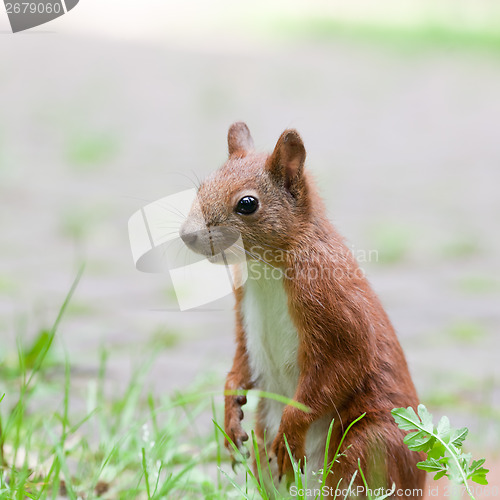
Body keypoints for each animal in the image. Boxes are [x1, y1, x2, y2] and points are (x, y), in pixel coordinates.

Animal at [178, 124, 424, 496]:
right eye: (201, 187)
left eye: (247, 204)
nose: (187, 235)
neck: (266, 269)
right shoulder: (244, 311)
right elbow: (241, 360)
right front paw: (230, 411)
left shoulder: (332, 301)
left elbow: (343, 367)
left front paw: (291, 432)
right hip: (263, 446)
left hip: (370, 445)